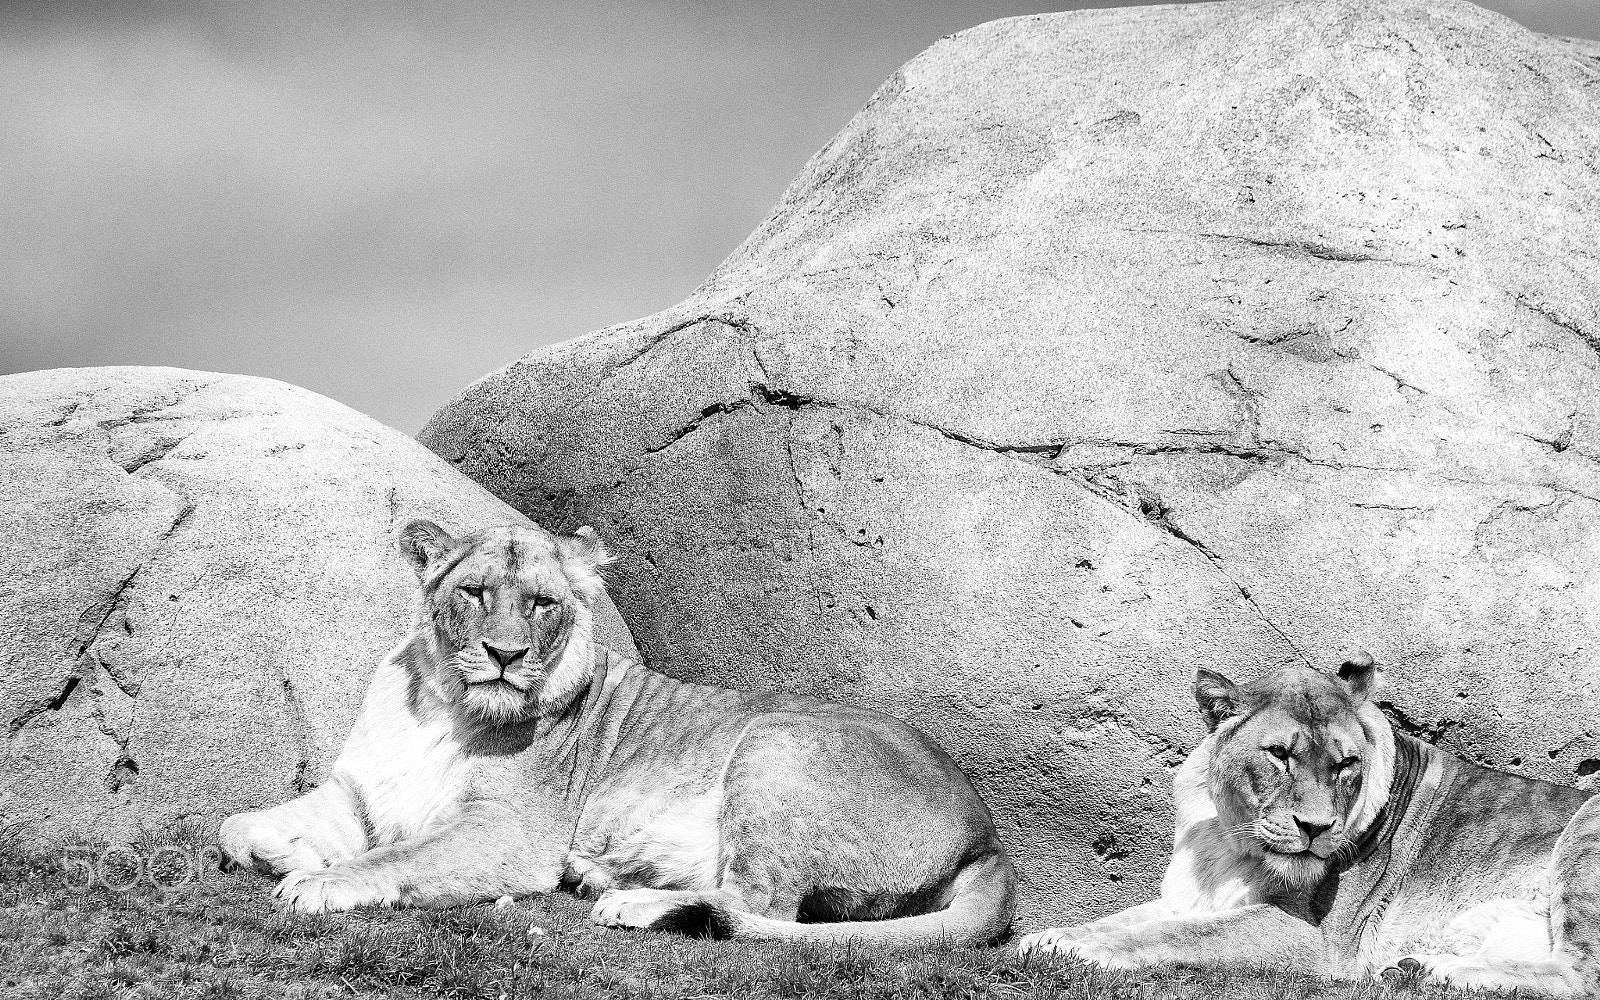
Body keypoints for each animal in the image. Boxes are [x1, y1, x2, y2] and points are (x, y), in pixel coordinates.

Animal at [219, 519, 1016, 945]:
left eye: (542, 604)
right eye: (474, 592)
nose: (505, 655)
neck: (444, 706)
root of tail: (988, 836)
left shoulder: (507, 836)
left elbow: (396, 858)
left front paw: (315, 882)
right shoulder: (359, 792)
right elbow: (234, 824)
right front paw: (272, 852)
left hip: (777, 740)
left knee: (757, 908)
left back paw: (631, 900)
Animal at [1017, 653, 1600, 996]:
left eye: (1346, 764)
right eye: (1279, 755)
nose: (1316, 828)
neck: (1233, 842)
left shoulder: (1319, 940)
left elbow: (1180, 933)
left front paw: (1079, 951)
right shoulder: (1190, 896)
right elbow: (1127, 918)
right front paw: (1047, 938)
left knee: (1582, 975)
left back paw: (1435, 971)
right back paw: (1415, 968)